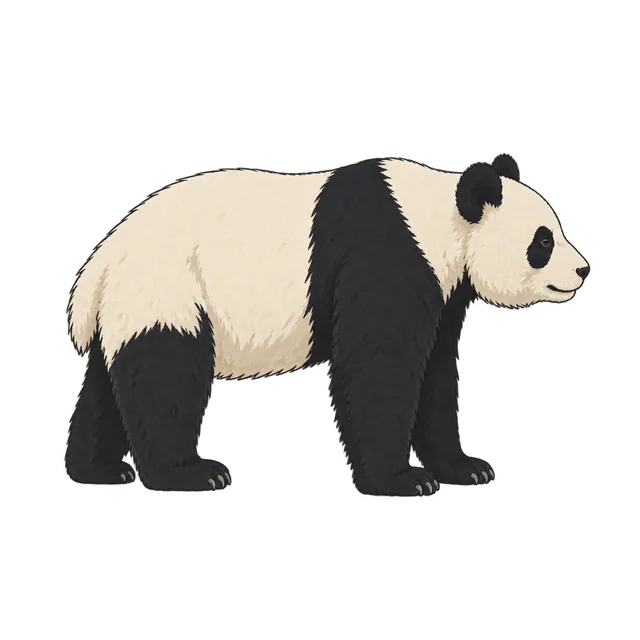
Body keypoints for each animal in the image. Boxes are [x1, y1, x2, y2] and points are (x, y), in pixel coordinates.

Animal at [64, 153, 591, 496]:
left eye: (554, 230)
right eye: (543, 241)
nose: (583, 270)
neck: (439, 219)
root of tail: (98, 261)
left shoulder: (440, 291)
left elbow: (436, 375)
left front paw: (467, 468)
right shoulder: (384, 255)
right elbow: (377, 370)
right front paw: (403, 480)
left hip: (130, 302)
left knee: (112, 381)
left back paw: (100, 469)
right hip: (169, 284)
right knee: (165, 376)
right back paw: (191, 474)